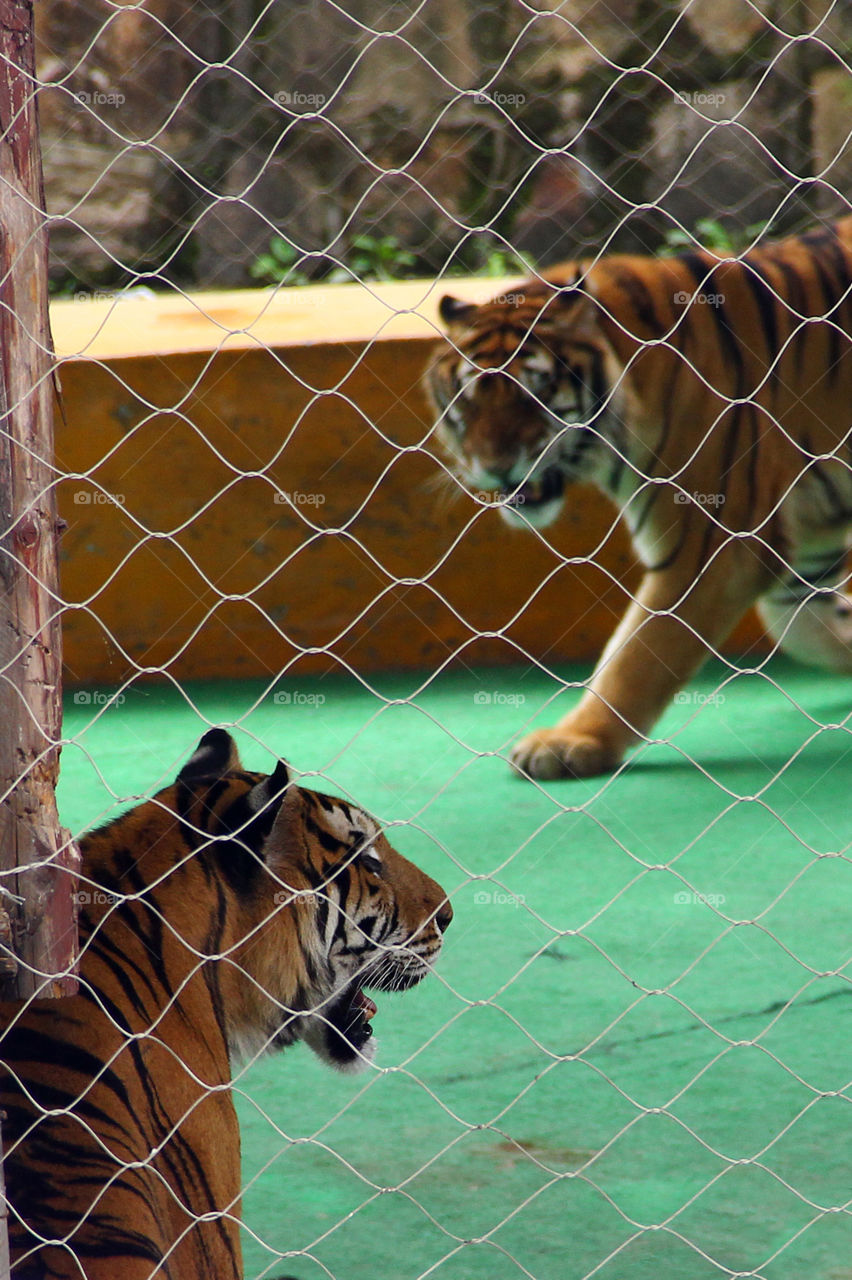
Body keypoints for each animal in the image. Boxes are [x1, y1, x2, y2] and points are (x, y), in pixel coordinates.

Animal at [427, 217, 849, 778]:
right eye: (467, 400)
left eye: (534, 394)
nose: (493, 466)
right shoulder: (805, 541)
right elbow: (801, 625)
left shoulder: (710, 548)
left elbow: (638, 654)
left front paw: (570, 742)